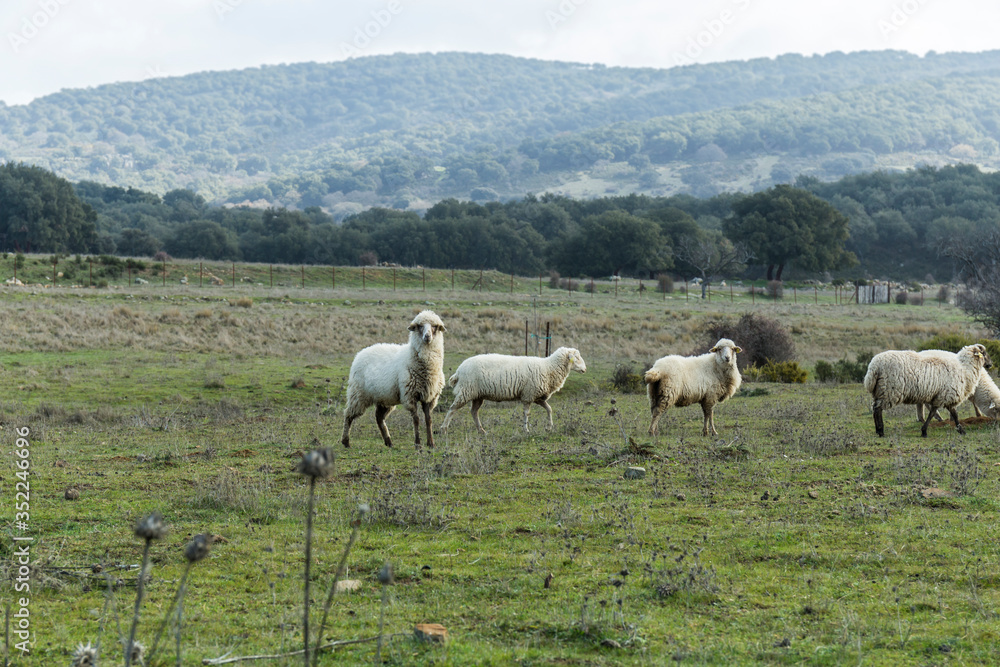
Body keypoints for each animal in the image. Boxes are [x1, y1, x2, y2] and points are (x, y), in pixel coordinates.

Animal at [340, 312, 446, 448]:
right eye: (419, 326)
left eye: (435, 326)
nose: (427, 336)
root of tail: (360, 353)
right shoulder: (410, 395)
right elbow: (416, 419)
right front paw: (417, 444)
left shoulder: (429, 396)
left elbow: (428, 420)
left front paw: (431, 443)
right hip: (358, 394)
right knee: (348, 415)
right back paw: (346, 441)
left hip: (383, 397)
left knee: (379, 418)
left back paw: (388, 441)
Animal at [438, 348, 584, 436]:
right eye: (576, 358)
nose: (585, 369)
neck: (549, 368)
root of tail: (459, 370)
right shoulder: (528, 395)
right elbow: (526, 413)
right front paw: (526, 429)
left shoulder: (537, 397)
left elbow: (549, 409)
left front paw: (549, 427)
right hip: (466, 391)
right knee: (452, 409)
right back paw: (443, 429)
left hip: (477, 395)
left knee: (474, 412)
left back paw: (481, 431)